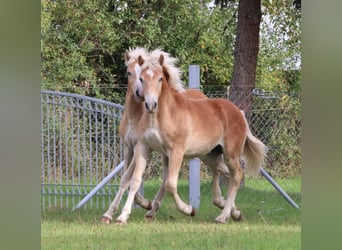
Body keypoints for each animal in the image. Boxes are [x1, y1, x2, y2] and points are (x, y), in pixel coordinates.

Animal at [113, 53, 266, 224]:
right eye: (142, 78)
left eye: (160, 78)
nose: (150, 104)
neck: (162, 116)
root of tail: (239, 112)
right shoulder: (143, 148)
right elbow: (134, 180)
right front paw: (122, 216)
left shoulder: (176, 152)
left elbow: (170, 184)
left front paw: (188, 209)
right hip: (210, 155)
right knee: (224, 173)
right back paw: (232, 211)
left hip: (230, 154)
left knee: (237, 176)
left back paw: (223, 216)